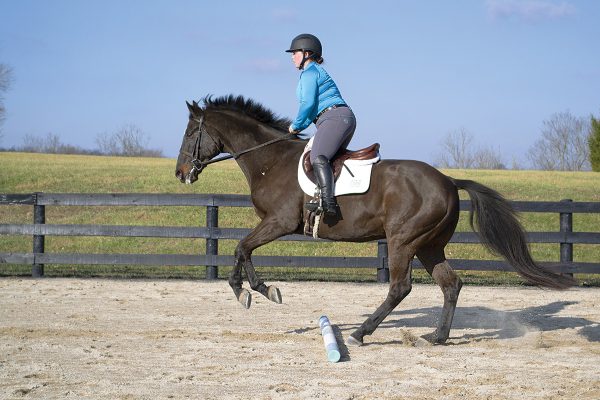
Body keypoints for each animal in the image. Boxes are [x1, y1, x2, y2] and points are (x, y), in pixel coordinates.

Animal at [175, 94, 576, 346]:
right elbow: (242, 248)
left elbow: (242, 247)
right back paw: (437, 337)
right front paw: (252, 290)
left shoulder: (279, 222)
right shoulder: (275, 224)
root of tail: (449, 181)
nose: (180, 173)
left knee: (400, 287)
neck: (270, 160)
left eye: (191, 133)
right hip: (429, 245)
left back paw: (361, 333)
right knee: (450, 284)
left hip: (403, 241)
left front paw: (252, 290)